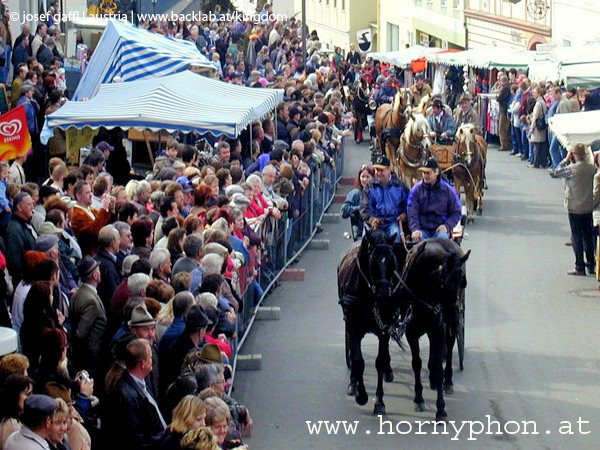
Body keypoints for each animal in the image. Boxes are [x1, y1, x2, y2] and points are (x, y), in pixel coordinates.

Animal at [338, 229, 408, 414]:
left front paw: (379, 402)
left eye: (392, 261)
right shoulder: (353, 326)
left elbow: (380, 362)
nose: (384, 296)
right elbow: (358, 360)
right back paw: (353, 383)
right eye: (372, 261)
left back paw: (388, 372)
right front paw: (361, 395)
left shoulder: (384, 327)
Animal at [400, 237, 472, 420]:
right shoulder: (411, 331)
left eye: (463, 281)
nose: (454, 316)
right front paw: (418, 399)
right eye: (442, 281)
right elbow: (416, 363)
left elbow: (439, 366)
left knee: (450, 345)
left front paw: (440, 410)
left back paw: (448, 381)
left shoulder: (438, 328)